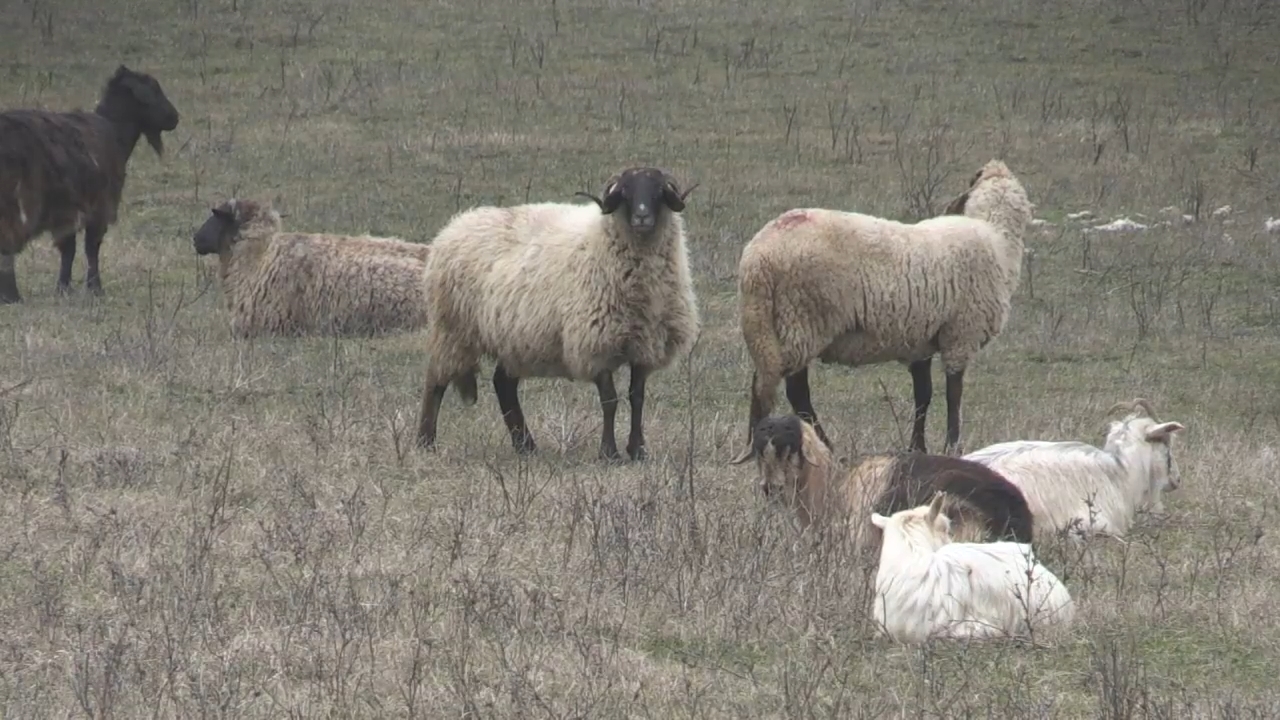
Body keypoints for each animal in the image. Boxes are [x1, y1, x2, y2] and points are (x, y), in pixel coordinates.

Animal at [0, 65, 181, 303]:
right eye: (154, 91)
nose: (175, 118)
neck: (114, 130)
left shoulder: (67, 213)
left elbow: (68, 250)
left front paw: (63, 288)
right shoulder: (98, 209)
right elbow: (90, 249)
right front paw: (95, 288)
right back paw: (12, 296)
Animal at [414, 166, 700, 462]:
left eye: (659, 192)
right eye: (625, 192)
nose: (642, 217)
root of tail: (454, 225)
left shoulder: (645, 345)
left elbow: (637, 398)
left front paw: (638, 451)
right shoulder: (593, 343)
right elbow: (609, 400)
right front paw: (608, 452)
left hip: (513, 338)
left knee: (503, 385)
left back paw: (526, 446)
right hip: (453, 329)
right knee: (435, 380)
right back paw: (425, 441)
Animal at [729, 159, 1033, 463]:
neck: (995, 237)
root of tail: (758, 258)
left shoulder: (920, 339)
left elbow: (923, 395)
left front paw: (917, 448)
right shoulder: (960, 334)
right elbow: (953, 394)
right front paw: (953, 447)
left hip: (768, 325)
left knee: (762, 382)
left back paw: (758, 443)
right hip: (802, 320)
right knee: (797, 392)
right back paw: (828, 448)